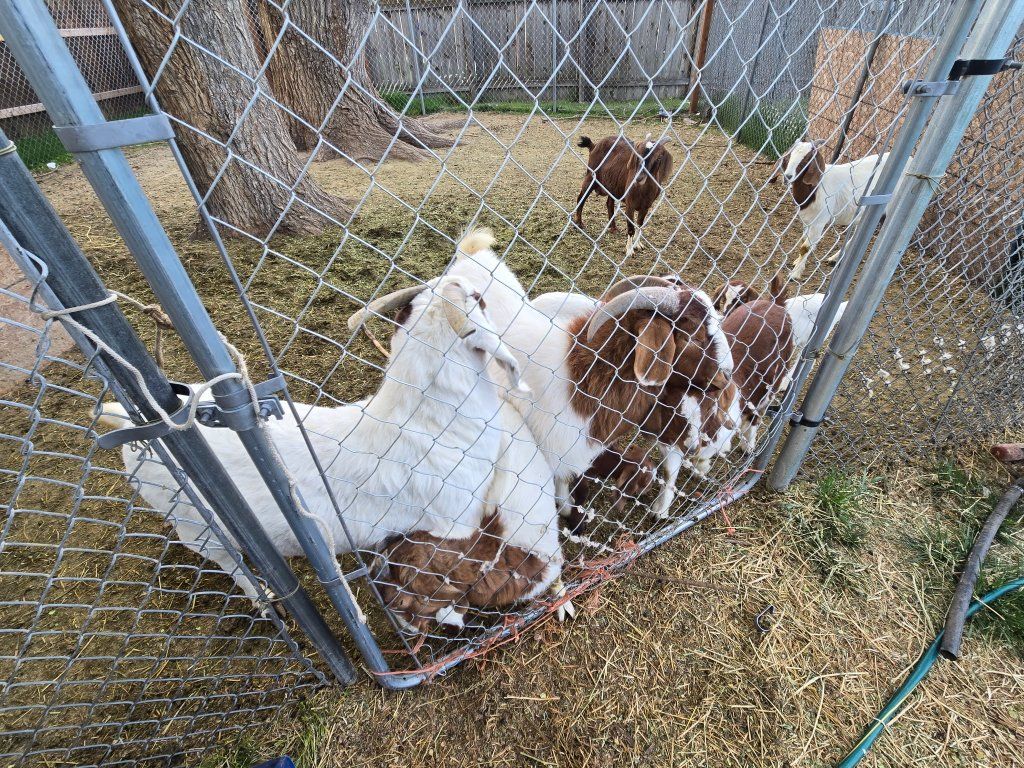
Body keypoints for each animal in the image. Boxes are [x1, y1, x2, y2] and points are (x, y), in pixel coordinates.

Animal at [95, 249, 526, 612]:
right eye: (479, 299)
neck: (427, 420)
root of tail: (133, 426)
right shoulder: (455, 522)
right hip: (196, 525)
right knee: (231, 564)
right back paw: (265, 599)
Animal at [772, 140, 891, 280]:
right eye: (789, 156)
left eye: (807, 159)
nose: (787, 176)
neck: (815, 189)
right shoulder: (807, 220)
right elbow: (804, 240)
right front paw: (797, 262)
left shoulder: (819, 221)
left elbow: (805, 247)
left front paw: (795, 274)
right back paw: (835, 258)